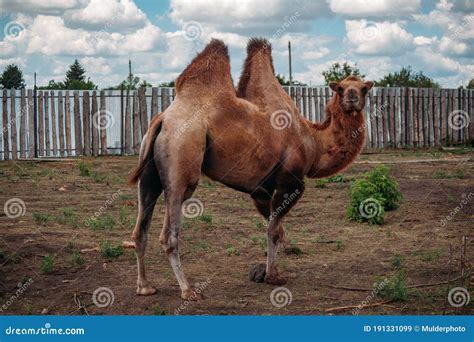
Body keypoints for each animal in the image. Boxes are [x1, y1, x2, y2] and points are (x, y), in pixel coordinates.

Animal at [130, 38, 374, 300]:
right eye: (340, 89)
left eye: (363, 89)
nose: (351, 99)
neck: (313, 140)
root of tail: (163, 120)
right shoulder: (291, 181)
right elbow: (274, 231)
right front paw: (273, 277)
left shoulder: (261, 190)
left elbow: (276, 229)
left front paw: (265, 272)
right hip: (182, 162)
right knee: (169, 233)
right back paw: (188, 290)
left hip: (148, 174)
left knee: (140, 228)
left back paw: (144, 286)